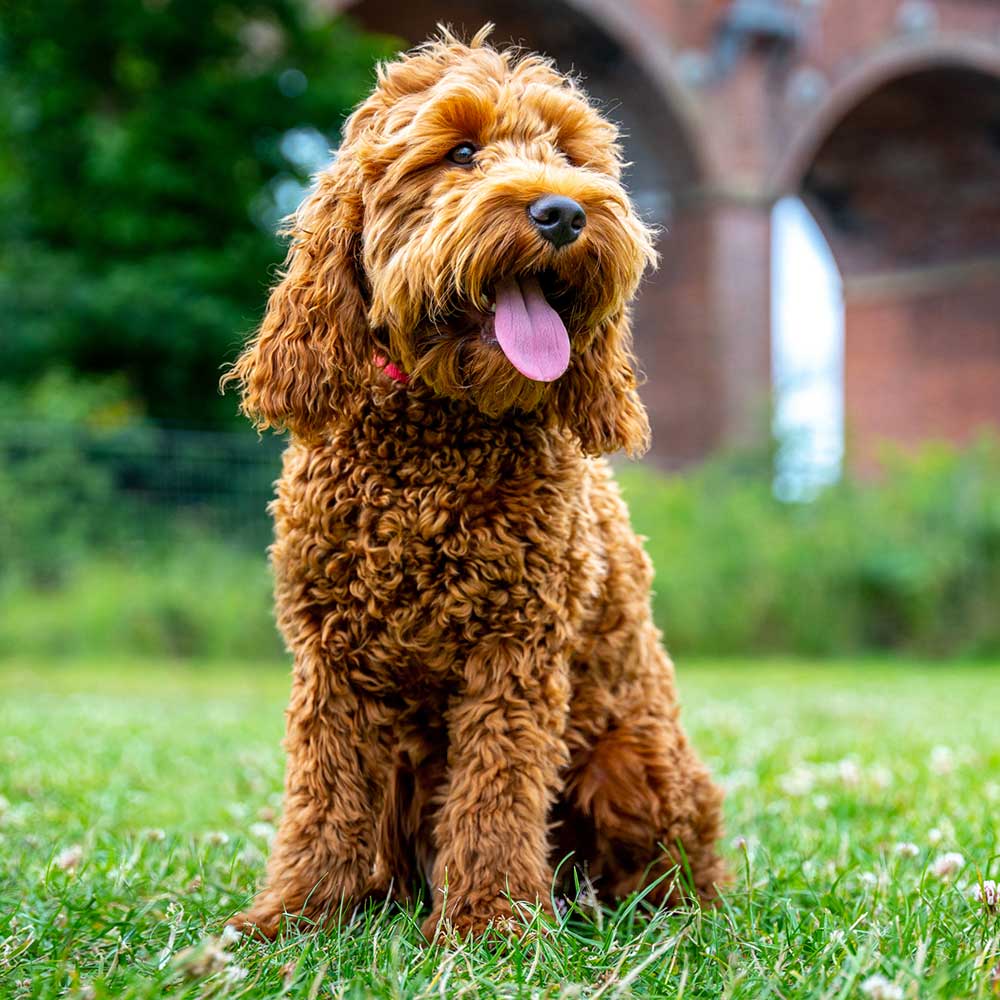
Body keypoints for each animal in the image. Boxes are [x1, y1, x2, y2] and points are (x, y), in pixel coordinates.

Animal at [225, 27, 728, 940]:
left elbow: (497, 791)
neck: (438, 439)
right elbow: (324, 795)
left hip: (631, 763)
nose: (563, 211)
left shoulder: (516, 652)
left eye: (568, 154)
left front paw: (490, 921)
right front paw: (298, 915)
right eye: (461, 152)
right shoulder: (331, 661)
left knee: (671, 868)